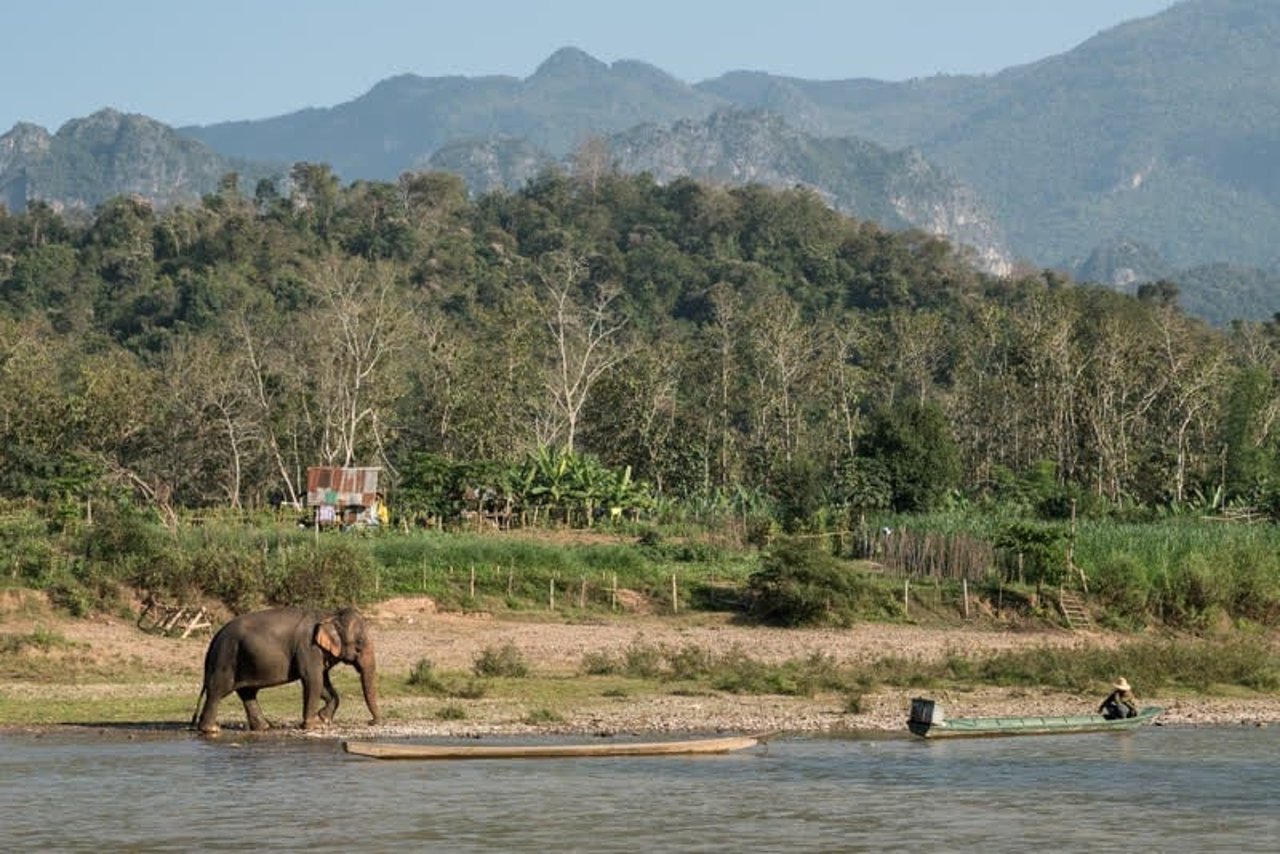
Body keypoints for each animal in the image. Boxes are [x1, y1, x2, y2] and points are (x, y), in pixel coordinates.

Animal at [189, 606, 378, 737]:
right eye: (359, 644)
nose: (371, 722)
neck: (329, 614)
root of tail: (215, 637)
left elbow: (324, 683)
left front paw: (324, 719)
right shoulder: (308, 648)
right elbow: (313, 681)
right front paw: (313, 725)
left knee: (247, 693)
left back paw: (264, 727)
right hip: (226, 659)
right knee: (217, 691)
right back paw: (212, 730)